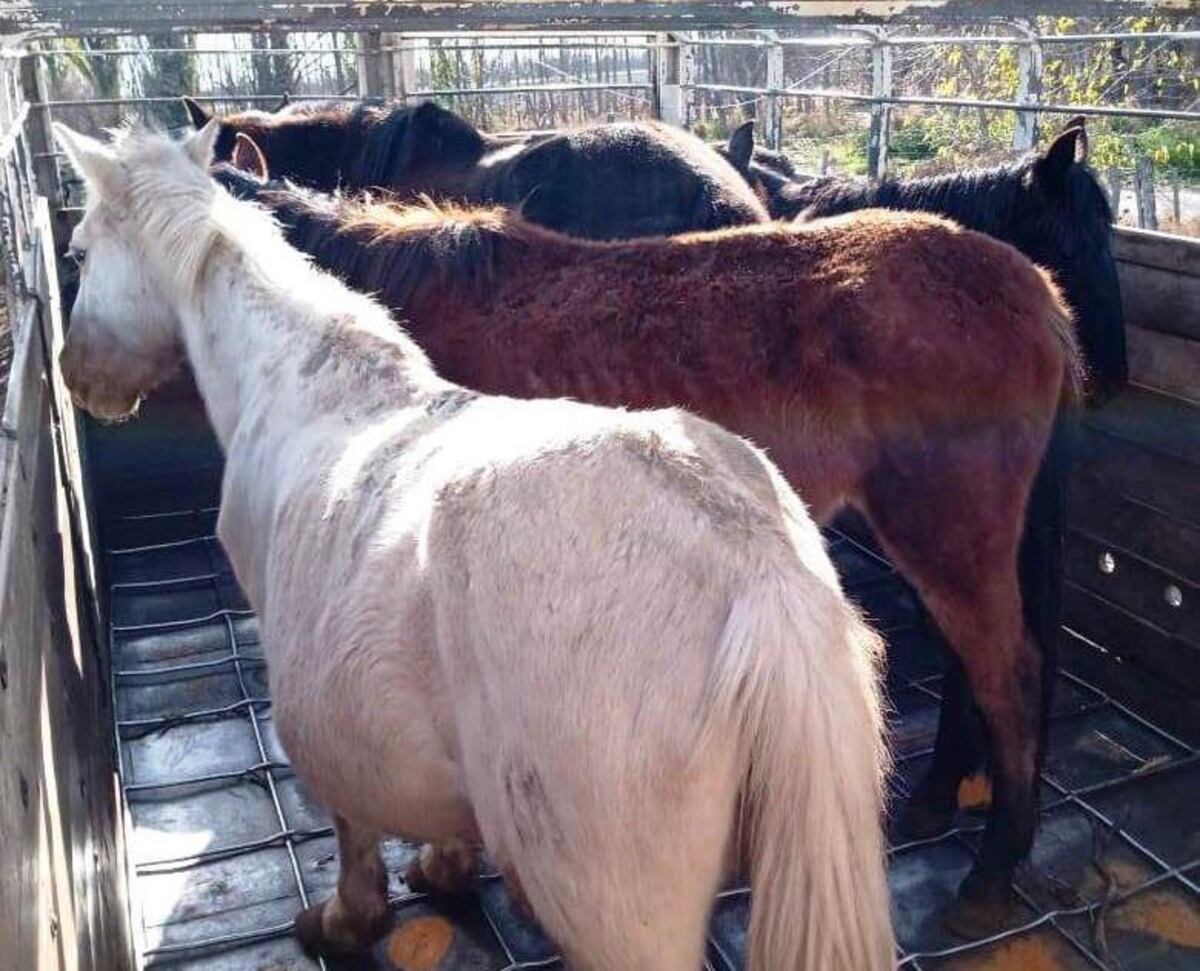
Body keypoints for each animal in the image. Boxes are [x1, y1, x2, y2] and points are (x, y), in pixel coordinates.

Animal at [54, 122, 894, 971]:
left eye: (80, 251)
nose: (75, 377)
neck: (303, 381)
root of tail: (758, 575)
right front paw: (445, 865)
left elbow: (353, 832)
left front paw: (344, 919)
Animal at [217, 141, 1083, 936]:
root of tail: (1034, 289)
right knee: (971, 668)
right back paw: (935, 803)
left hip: (948, 535)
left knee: (1008, 677)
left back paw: (989, 874)